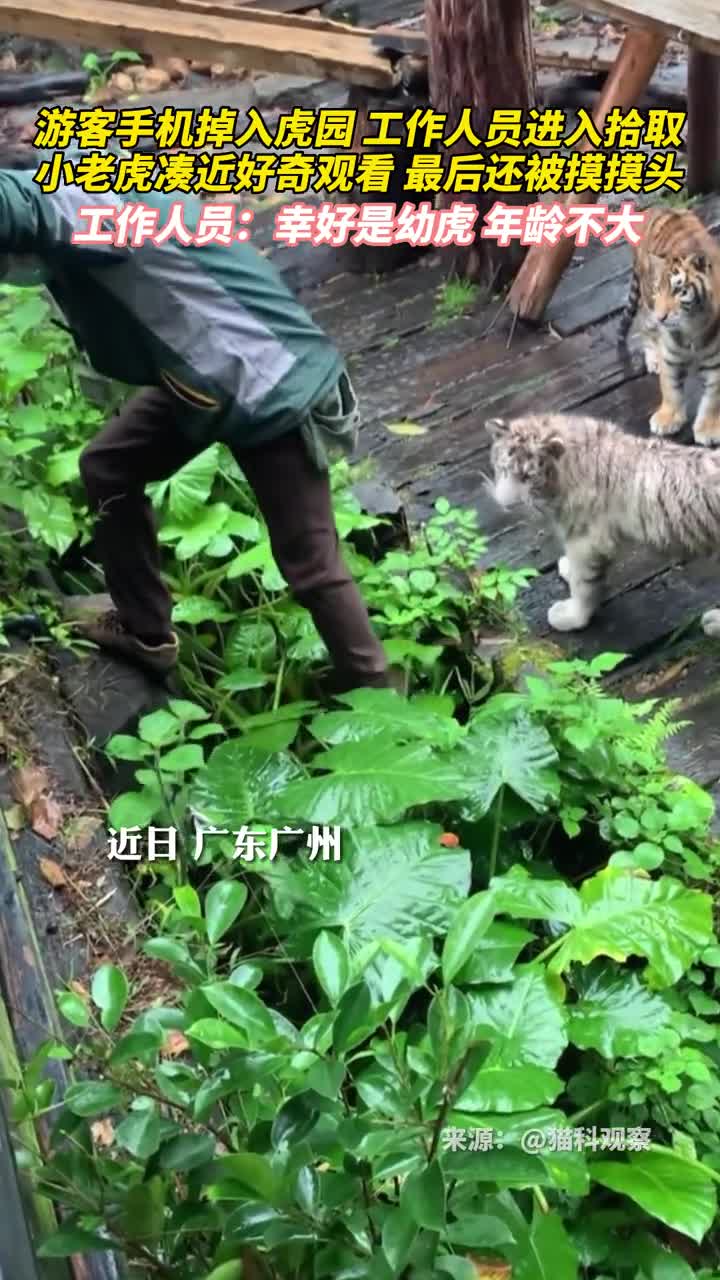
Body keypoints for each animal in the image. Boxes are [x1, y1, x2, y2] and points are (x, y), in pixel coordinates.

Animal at [485, 410, 720, 637]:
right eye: (503, 469)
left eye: (526, 477)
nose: (506, 502)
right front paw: (567, 569)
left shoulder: (587, 542)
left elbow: (583, 585)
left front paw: (572, 617)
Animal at [617, 205, 720, 447]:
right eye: (659, 289)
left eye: (679, 291)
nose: (662, 317)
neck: (693, 326)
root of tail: (656, 208)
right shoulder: (670, 353)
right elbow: (670, 387)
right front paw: (667, 419)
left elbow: (714, 397)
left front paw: (708, 429)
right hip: (646, 305)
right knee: (645, 330)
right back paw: (652, 359)